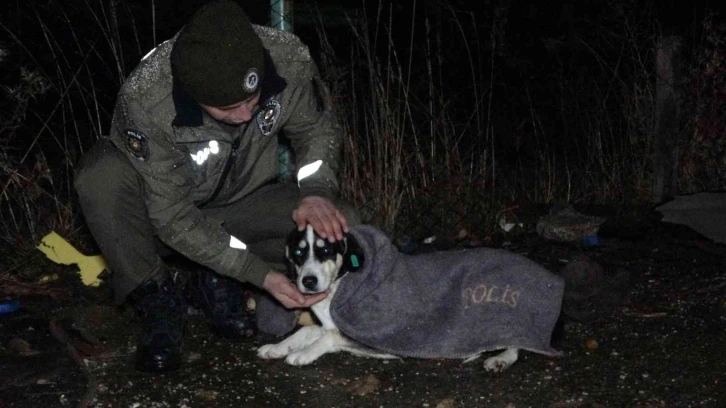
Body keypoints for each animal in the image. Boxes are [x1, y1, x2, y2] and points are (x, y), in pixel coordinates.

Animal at [258, 225, 520, 372]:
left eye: (326, 250)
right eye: (298, 252)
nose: (308, 281)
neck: (340, 283)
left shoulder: (364, 334)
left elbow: (329, 337)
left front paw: (302, 354)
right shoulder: (329, 324)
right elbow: (306, 331)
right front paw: (277, 347)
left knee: (515, 343)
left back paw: (501, 359)